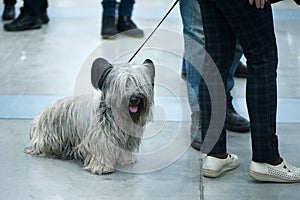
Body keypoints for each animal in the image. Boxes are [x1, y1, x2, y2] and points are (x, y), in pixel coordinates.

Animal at [24, 57, 155, 174]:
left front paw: (125, 160)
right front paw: (102, 167)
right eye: (124, 84)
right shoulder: (99, 137)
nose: (134, 99)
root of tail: (40, 117)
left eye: (139, 83)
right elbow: (101, 149)